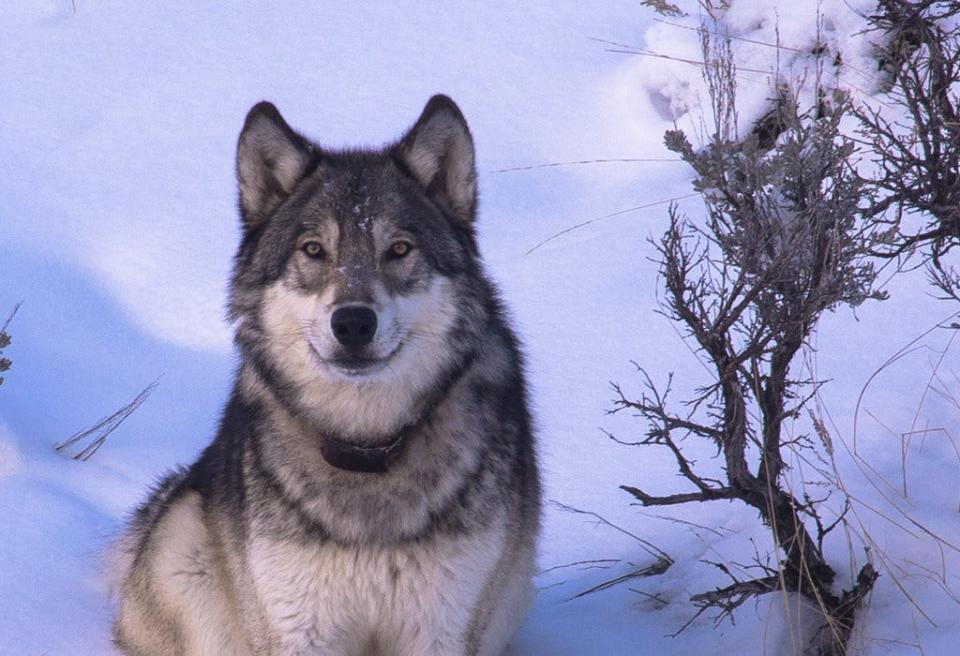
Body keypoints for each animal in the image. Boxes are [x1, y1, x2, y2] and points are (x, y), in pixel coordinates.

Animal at [110, 93, 540, 656]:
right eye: (314, 250)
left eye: (398, 249)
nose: (353, 322)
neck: (367, 448)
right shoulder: (301, 627)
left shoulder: (441, 626)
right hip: (183, 547)